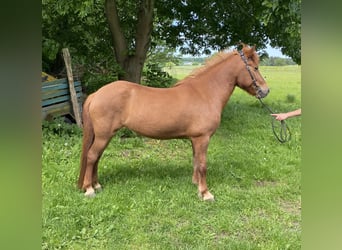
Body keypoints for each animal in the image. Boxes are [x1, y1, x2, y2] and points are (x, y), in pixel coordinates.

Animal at [77, 44, 270, 201]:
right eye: (255, 67)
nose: (265, 90)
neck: (205, 93)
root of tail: (96, 94)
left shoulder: (195, 139)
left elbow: (196, 162)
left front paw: (196, 185)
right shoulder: (202, 138)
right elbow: (203, 165)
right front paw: (205, 193)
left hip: (105, 135)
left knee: (96, 157)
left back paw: (96, 185)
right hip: (104, 135)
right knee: (92, 156)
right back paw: (89, 189)